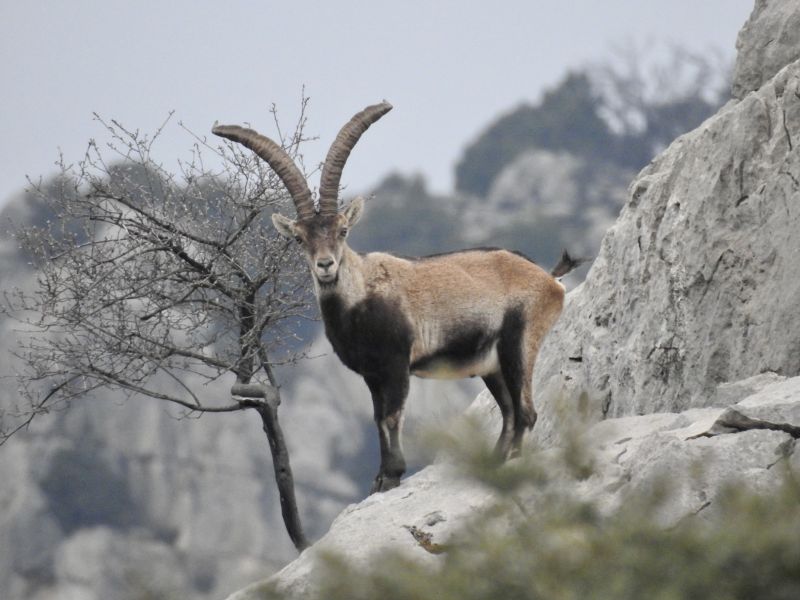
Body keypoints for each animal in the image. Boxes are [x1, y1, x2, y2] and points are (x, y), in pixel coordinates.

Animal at [212, 101, 580, 490]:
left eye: (343, 230)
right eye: (300, 238)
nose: (325, 265)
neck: (359, 297)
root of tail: (549, 278)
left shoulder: (397, 362)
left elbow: (392, 417)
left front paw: (393, 474)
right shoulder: (372, 373)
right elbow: (377, 419)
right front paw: (381, 477)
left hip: (519, 343)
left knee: (526, 412)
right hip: (490, 363)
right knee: (509, 412)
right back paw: (494, 464)